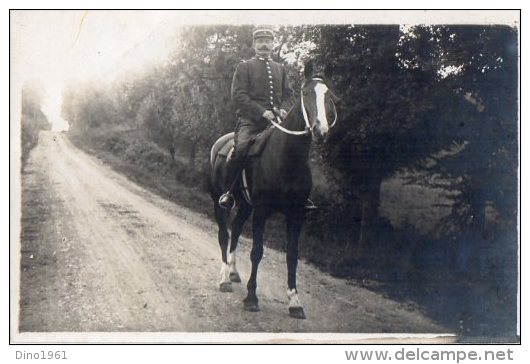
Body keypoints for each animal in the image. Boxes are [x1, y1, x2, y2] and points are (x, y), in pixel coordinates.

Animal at [207, 61, 336, 318]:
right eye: (306, 92)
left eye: (328, 96)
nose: (321, 131)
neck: (287, 158)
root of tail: (220, 143)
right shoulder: (262, 211)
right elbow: (257, 251)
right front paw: (251, 298)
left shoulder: (296, 215)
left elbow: (293, 255)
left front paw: (294, 301)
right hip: (220, 201)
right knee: (224, 234)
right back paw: (225, 278)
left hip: (245, 206)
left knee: (236, 229)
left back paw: (234, 272)